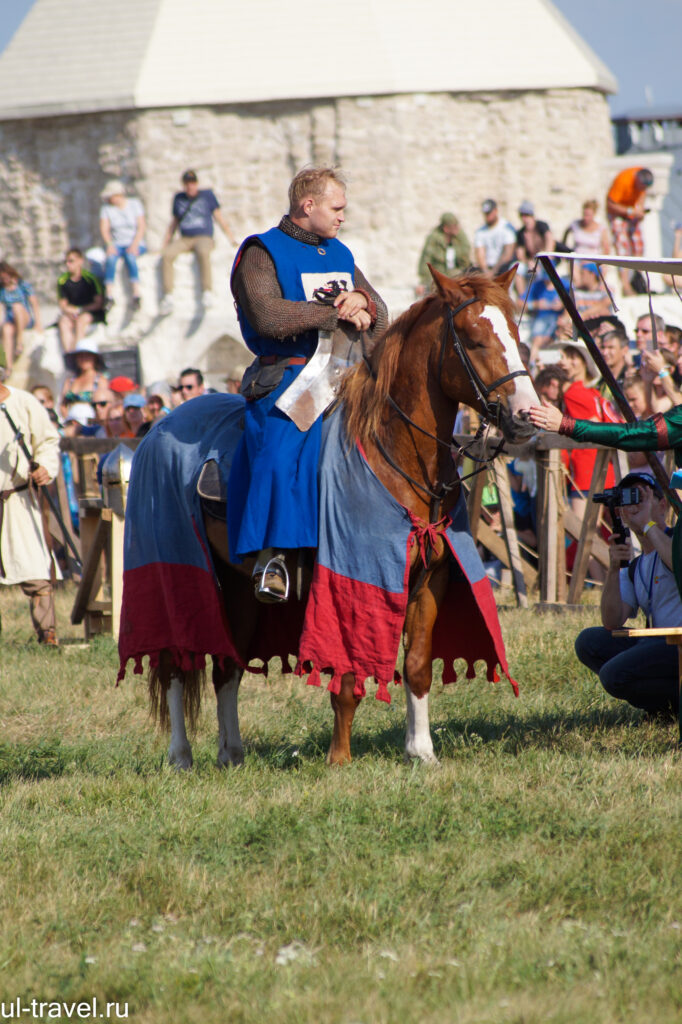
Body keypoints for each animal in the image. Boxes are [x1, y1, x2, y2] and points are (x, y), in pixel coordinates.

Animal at [137, 268, 536, 765]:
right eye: (475, 340)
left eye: (517, 336)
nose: (526, 416)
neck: (392, 449)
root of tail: (159, 427)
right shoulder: (352, 580)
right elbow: (346, 677)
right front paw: (339, 759)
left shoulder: (429, 581)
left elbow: (418, 667)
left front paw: (421, 752)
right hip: (174, 575)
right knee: (176, 661)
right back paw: (180, 755)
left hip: (237, 585)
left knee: (227, 666)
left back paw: (232, 754)